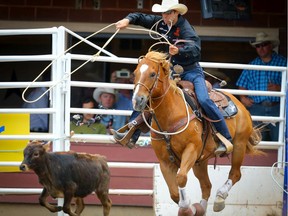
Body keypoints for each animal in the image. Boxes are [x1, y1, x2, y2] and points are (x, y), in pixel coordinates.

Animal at [129, 50, 262, 214]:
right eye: (135, 73)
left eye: (153, 74)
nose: (137, 100)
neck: (171, 114)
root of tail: (240, 105)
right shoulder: (165, 162)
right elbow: (174, 193)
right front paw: (189, 208)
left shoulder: (191, 149)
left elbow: (181, 178)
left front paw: (186, 207)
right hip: (201, 161)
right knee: (206, 185)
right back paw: (201, 208)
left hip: (239, 145)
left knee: (235, 174)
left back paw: (220, 198)